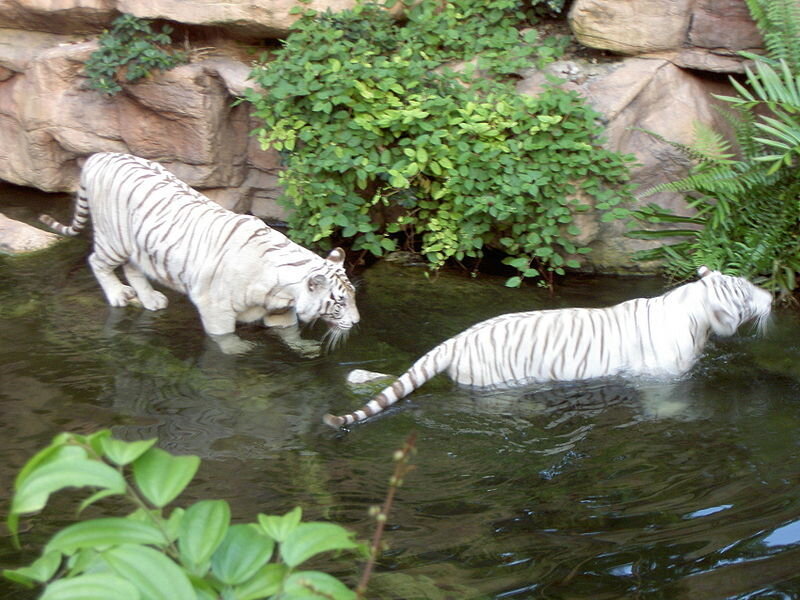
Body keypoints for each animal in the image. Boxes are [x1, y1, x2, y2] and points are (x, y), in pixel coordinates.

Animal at [39, 152, 359, 355]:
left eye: (353, 297)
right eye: (339, 302)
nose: (357, 323)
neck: (283, 291)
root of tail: (99, 157)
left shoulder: (280, 311)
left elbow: (288, 332)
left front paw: (305, 348)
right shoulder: (215, 307)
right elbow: (223, 335)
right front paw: (237, 350)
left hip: (139, 247)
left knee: (133, 268)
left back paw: (152, 300)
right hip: (113, 240)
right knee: (97, 261)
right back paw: (118, 295)